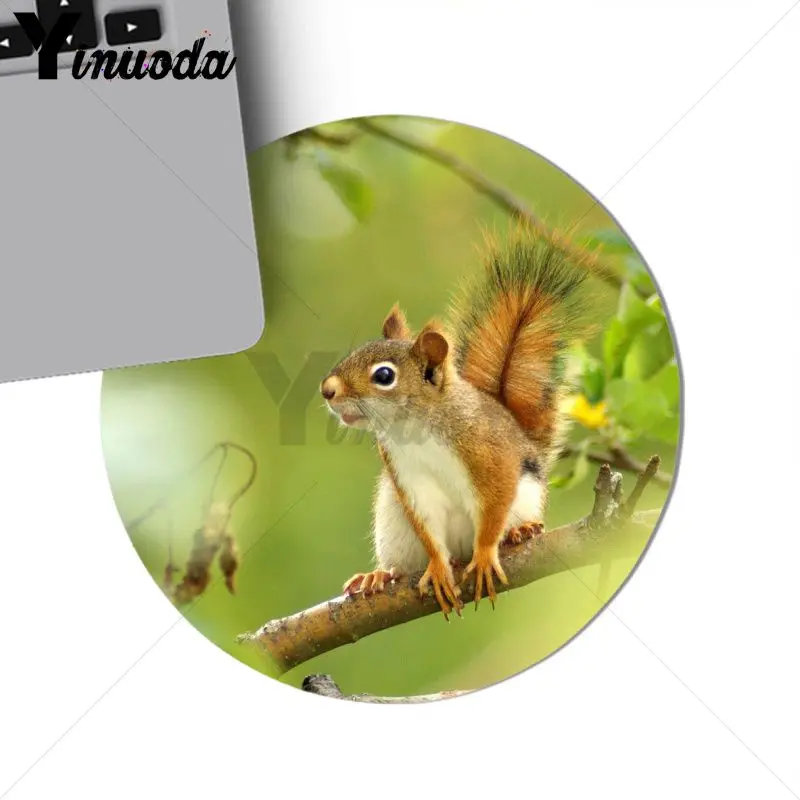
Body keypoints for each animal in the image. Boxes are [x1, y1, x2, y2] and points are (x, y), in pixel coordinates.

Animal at [319, 225, 591, 617]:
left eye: (384, 376)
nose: (327, 390)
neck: (415, 428)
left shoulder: (491, 454)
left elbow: (494, 505)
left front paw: (485, 554)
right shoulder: (408, 478)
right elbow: (429, 529)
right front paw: (436, 568)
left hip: (525, 496)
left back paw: (519, 532)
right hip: (392, 522)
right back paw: (380, 575)